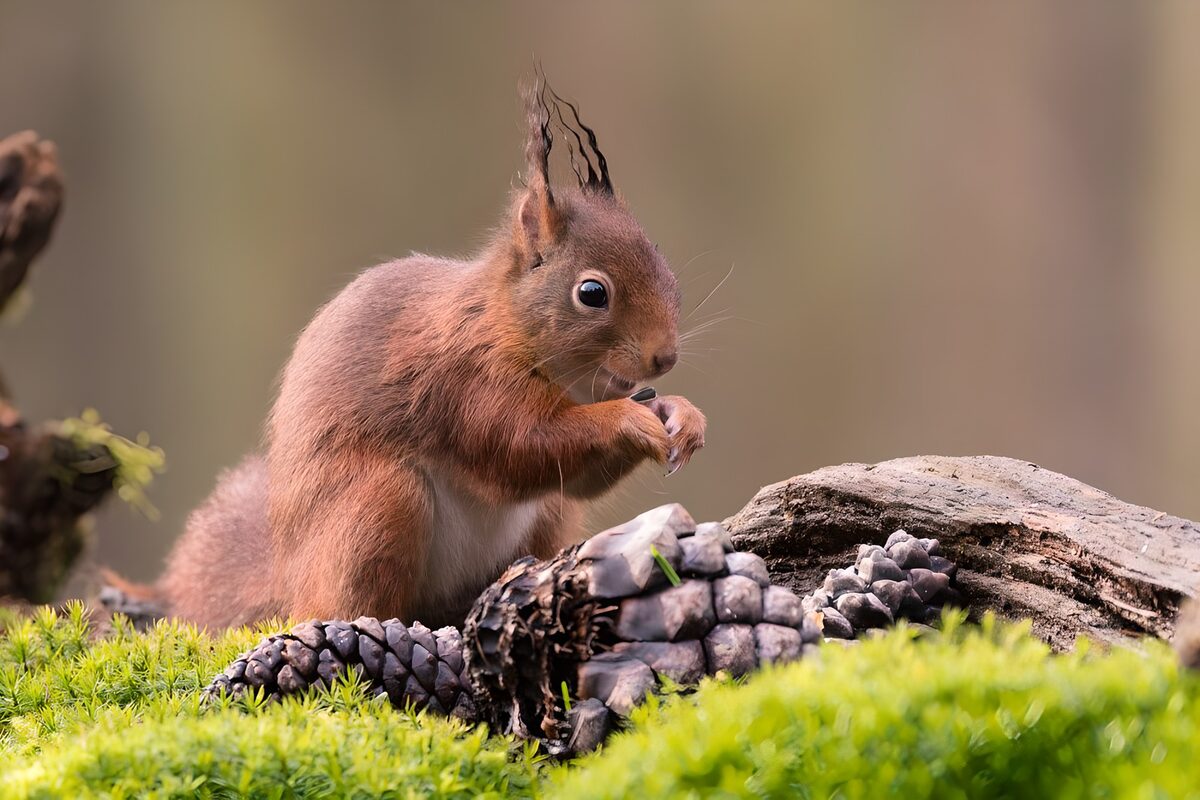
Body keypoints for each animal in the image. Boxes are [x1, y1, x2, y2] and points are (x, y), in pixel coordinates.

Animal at [156, 83, 707, 630]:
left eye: (669, 275)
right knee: (350, 601)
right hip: (381, 504)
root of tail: (291, 578)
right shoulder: (467, 381)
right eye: (592, 293)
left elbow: (577, 481)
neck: (508, 326)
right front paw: (627, 420)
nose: (665, 359)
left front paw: (684, 415)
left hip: (545, 517)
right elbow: (522, 444)